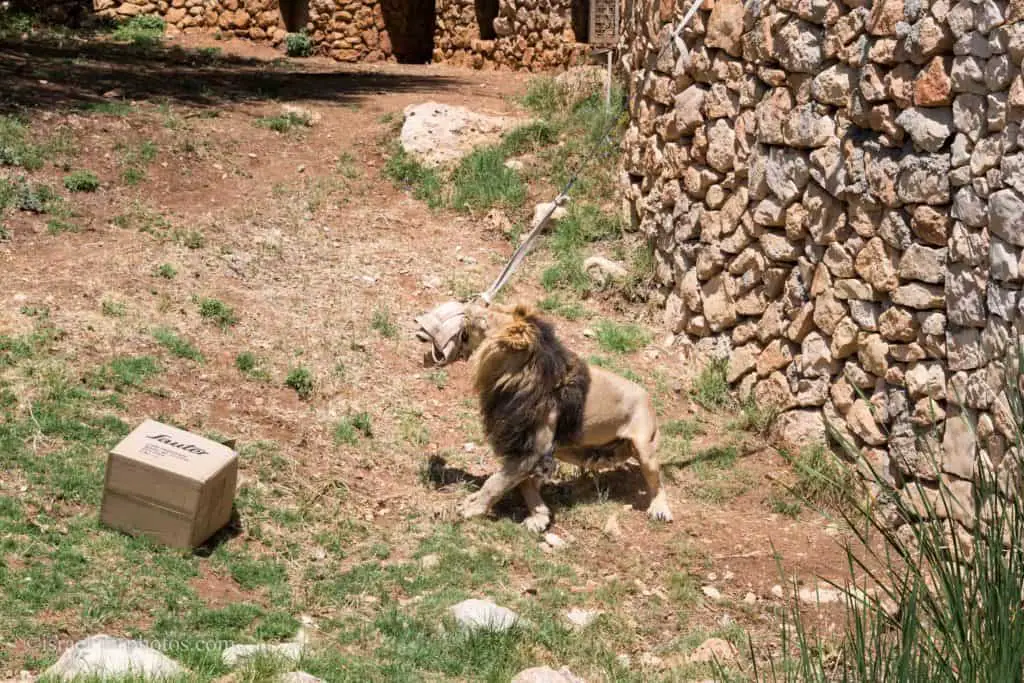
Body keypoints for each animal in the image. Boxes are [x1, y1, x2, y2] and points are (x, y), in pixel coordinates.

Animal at [456, 301, 671, 532]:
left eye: (484, 318)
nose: (467, 306)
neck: (509, 378)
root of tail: (648, 396)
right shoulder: (525, 447)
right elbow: (523, 483)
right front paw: (539, 515)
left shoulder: (534, 448)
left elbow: (496, 483)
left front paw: (472, 508)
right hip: (570, 449)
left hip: (645, 448)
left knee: (658, 482)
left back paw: (660, 509)